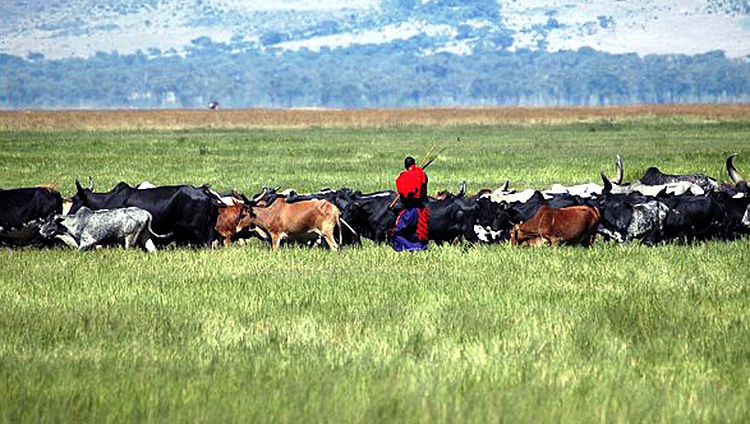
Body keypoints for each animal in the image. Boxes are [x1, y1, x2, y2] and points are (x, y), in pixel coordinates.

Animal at [40, 206, 172, 252]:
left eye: (50, 222)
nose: (41, 232)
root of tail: (145, 213)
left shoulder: (87, 242)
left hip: (130, 237)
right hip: (145, 236)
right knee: (152, 249)